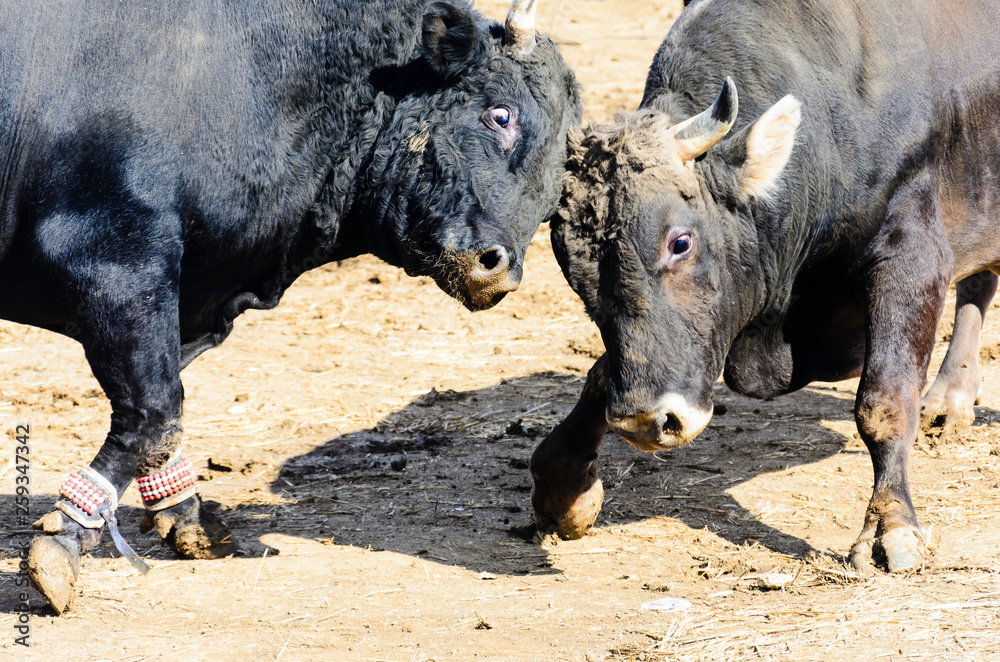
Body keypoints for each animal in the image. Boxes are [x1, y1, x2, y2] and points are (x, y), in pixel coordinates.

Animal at [9, 0, 581, 613]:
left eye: (558, 179)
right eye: (500, 115)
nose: (498, 270)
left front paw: (188, 519)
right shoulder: (116, 264)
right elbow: (154, 414)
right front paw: (66, 540)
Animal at [529, 0, 1000, 574]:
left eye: (680, 242)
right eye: (574, 271)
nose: (646, 422)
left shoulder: (911, 254)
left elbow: (883, 402)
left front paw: (890, 527)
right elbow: (602, 373)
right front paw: (562, 484)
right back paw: (951, 400)